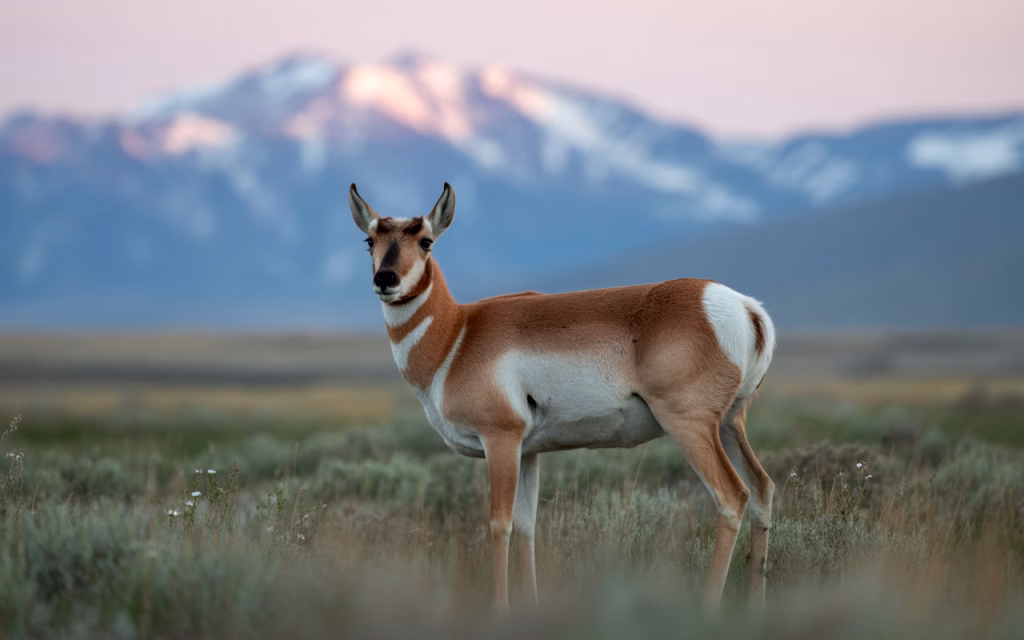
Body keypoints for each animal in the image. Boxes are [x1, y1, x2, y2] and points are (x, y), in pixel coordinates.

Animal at [349, 183, 776, 611]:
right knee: (761, 488)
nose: (385, 278)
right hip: (729, 424)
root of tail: (742, 306)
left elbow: (499, 523)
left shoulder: (500, 440)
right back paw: (755, 602)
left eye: (426, 241)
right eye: (370, 239)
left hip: (690, 426)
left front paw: (500, 607)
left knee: (732, 497)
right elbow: (526, 525)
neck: (457, 335)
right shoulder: (528, 452)